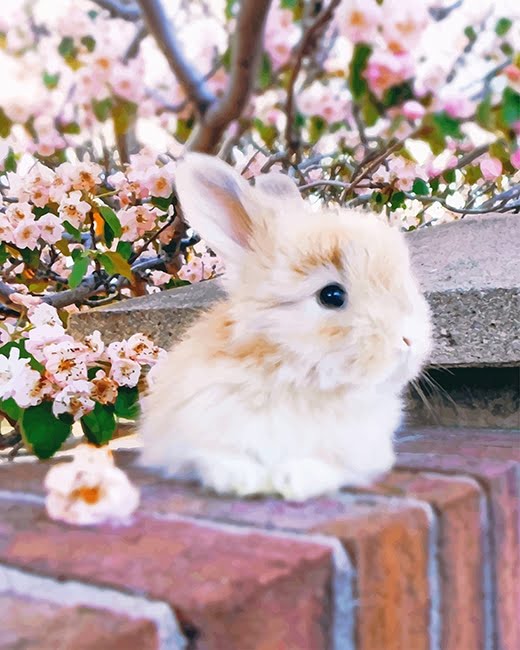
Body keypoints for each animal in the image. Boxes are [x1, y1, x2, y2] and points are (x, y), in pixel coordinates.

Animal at [137, 153, 432, 501]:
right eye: (332, 296)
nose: (409, 341)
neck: (294, 374)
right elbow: (215, 457)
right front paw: (242, 480)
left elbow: (326, 466)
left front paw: (293, 480)